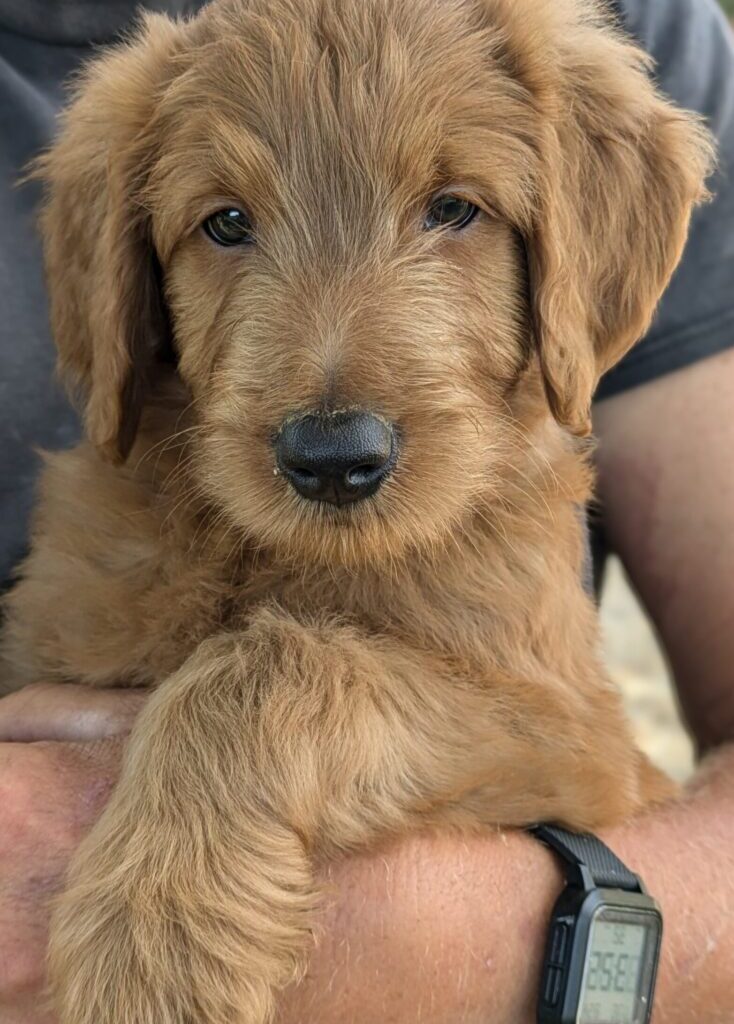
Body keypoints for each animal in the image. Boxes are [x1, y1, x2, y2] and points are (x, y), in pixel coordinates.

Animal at [0, 0, 708, 1019]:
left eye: (454, 208)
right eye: (226, 223)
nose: (333, 459)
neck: (276, 555)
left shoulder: (572, 735)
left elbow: (278, 662)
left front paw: (157, 937)